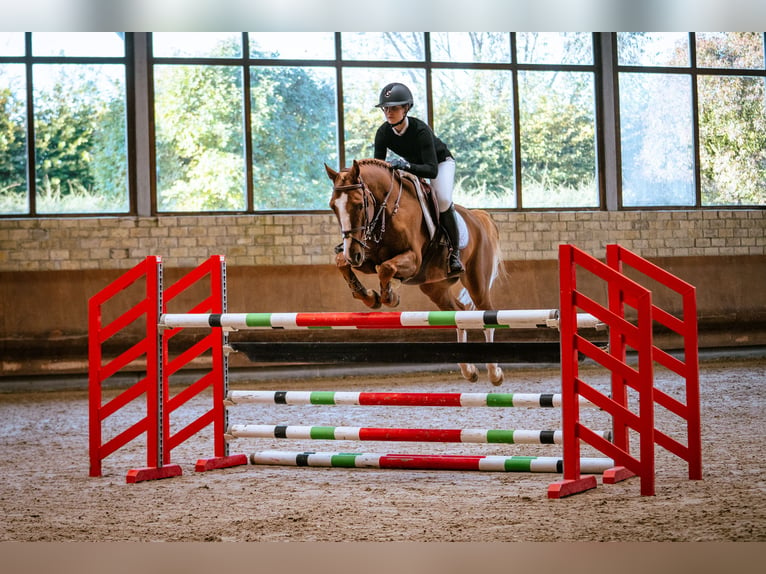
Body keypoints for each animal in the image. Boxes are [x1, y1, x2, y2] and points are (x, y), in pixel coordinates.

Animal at [328, 158, 508, 388]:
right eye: (333, 206)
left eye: (360, 204)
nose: (352, 254)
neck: (386, 211)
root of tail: (477, 217)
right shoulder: (365, 255)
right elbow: (343, 263)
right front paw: (369, 297)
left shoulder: (413, 259)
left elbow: (386, 268)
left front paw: (390, 296)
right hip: (434, 287)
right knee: (458, 313)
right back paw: (469, 371)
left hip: (477, 283)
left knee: (487, 315)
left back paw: (494, 373)